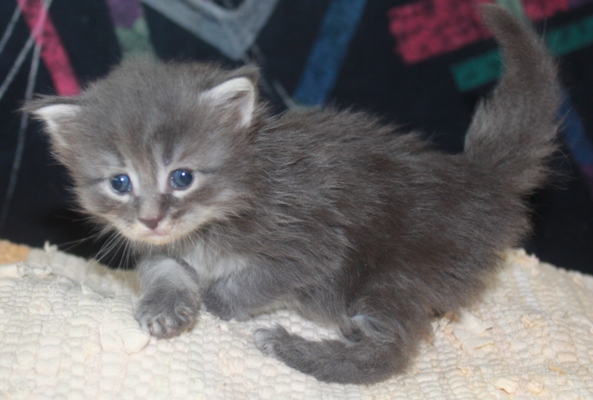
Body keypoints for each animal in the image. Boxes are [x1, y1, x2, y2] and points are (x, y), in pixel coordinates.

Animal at [27, 5, 560, 384]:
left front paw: (216, 301)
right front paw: (166, 305)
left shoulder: (311, 241)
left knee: (392, 351)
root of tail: (477, 177)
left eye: (181, 177)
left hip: (393, 273)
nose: (152, 218)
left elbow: (251, 281)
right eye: (120, 183)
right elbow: (162, 267)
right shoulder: (161, 246)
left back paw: (294, 349)